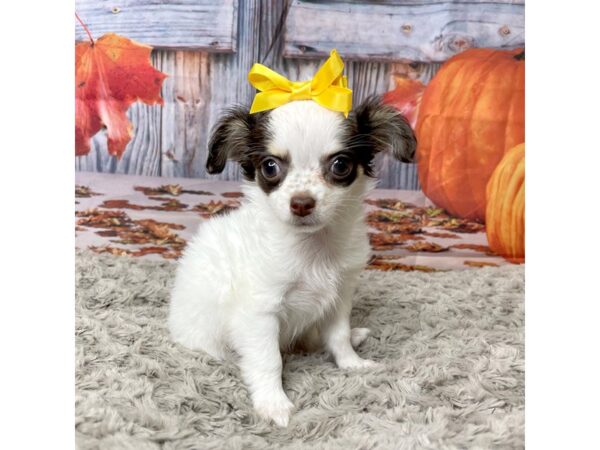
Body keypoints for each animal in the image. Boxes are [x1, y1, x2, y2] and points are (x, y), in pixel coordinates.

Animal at [166, 96, 414, 428]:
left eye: (340, 165)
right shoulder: (260, 312)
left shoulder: (339, 297)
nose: (301, 203)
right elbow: (269, 360)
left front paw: (352, 364)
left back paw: (356, 335)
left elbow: (338, 336)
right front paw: (274, 404)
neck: (312, 248)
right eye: (270, 167)